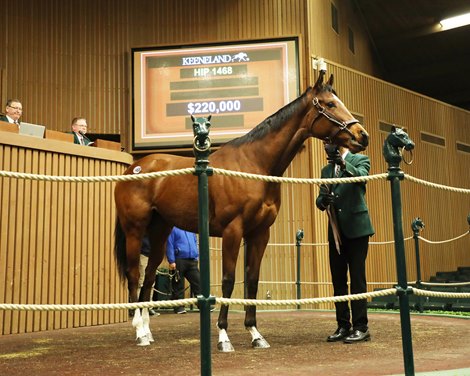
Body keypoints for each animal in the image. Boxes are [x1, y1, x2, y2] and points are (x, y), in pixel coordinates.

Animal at [114, 71, 370, 350]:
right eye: (330, 104)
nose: (362, 135)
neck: (254, 164)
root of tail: (134, 168)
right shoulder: (232, 231)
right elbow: (228, 281)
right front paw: (223, 337)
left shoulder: (259, 234)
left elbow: (252, 280)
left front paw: (255, 334)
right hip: (135, 230)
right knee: (134, 274)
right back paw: (139, 331)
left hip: (160, 231)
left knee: (149, 277)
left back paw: (148, 331)